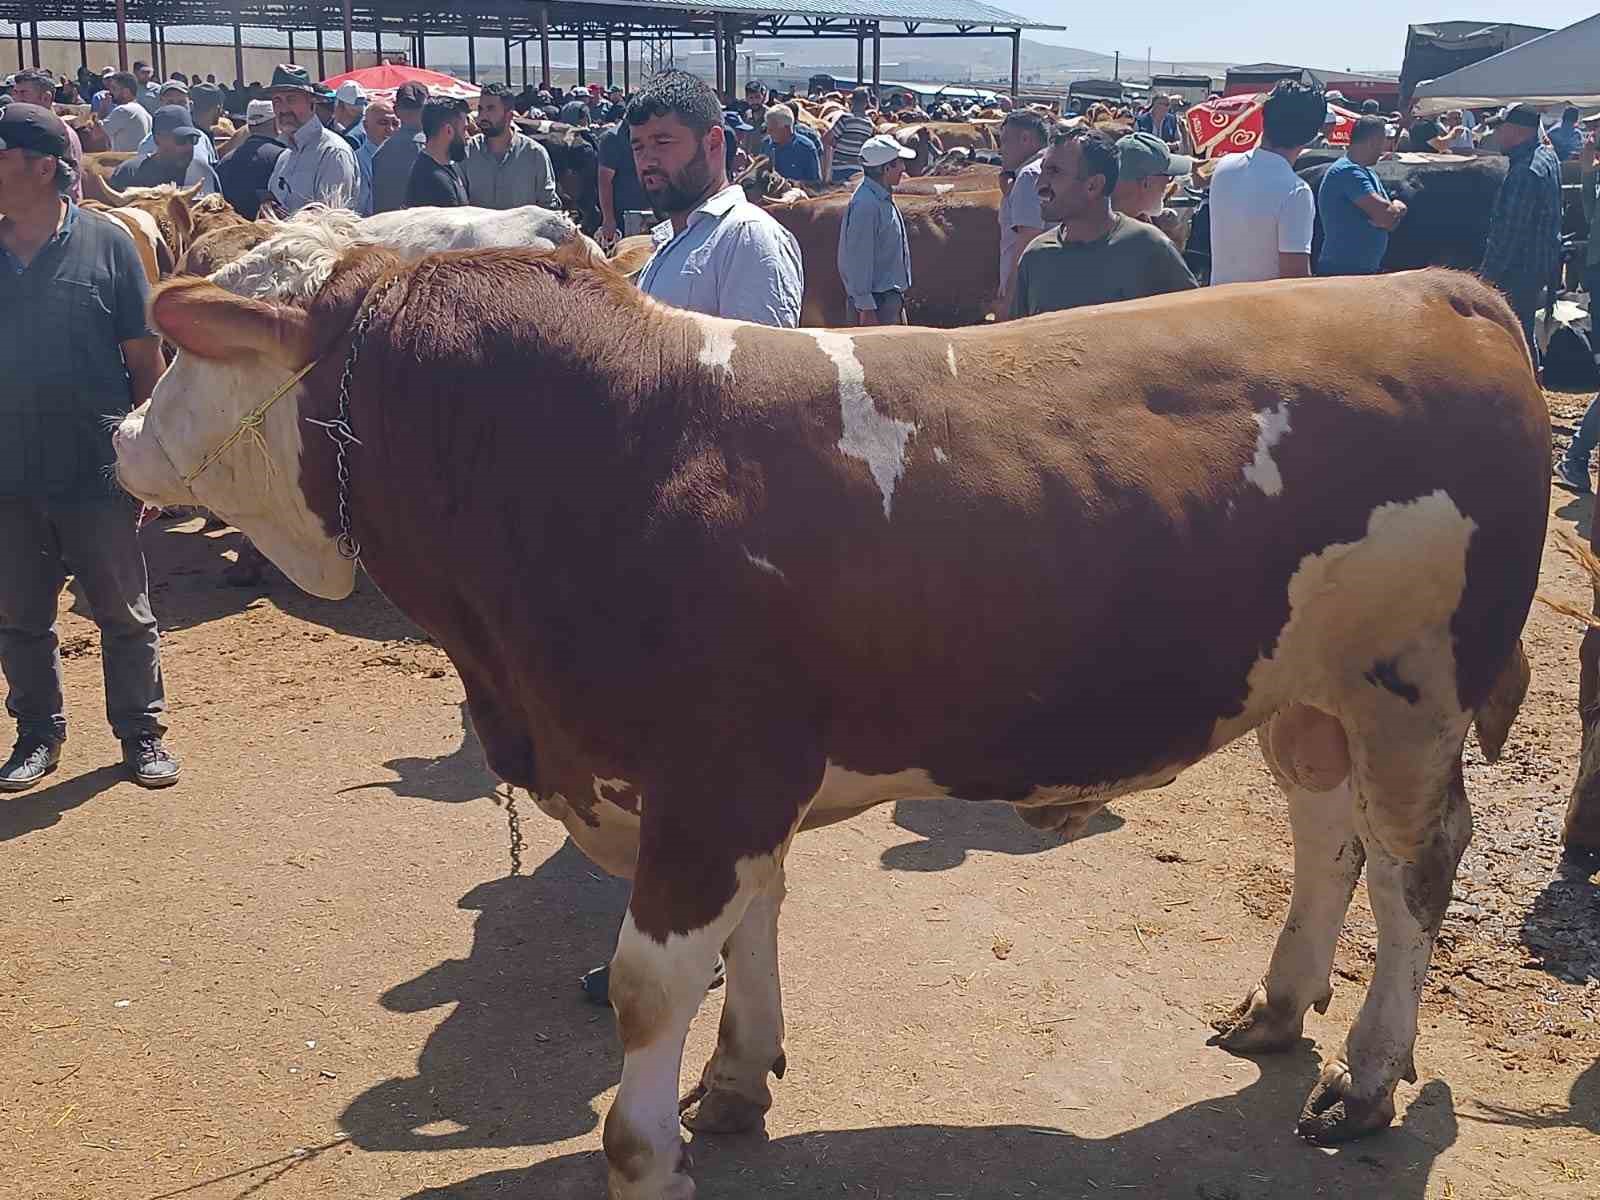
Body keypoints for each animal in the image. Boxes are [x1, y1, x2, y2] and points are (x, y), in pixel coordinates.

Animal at [116, 246, 1548, 1200]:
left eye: (189, 346)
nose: (121, 427)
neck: (592, 461)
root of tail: (1437, 285)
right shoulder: (726, 789)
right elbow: (751, 929)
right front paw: (736, 1082)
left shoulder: (712, 778)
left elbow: (646, 988)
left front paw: (650, 1154)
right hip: (1302, 688)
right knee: (1323, 836)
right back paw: (1279, 1005)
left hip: (1410, 690)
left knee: (1411, 871)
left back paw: (1363, 1079)